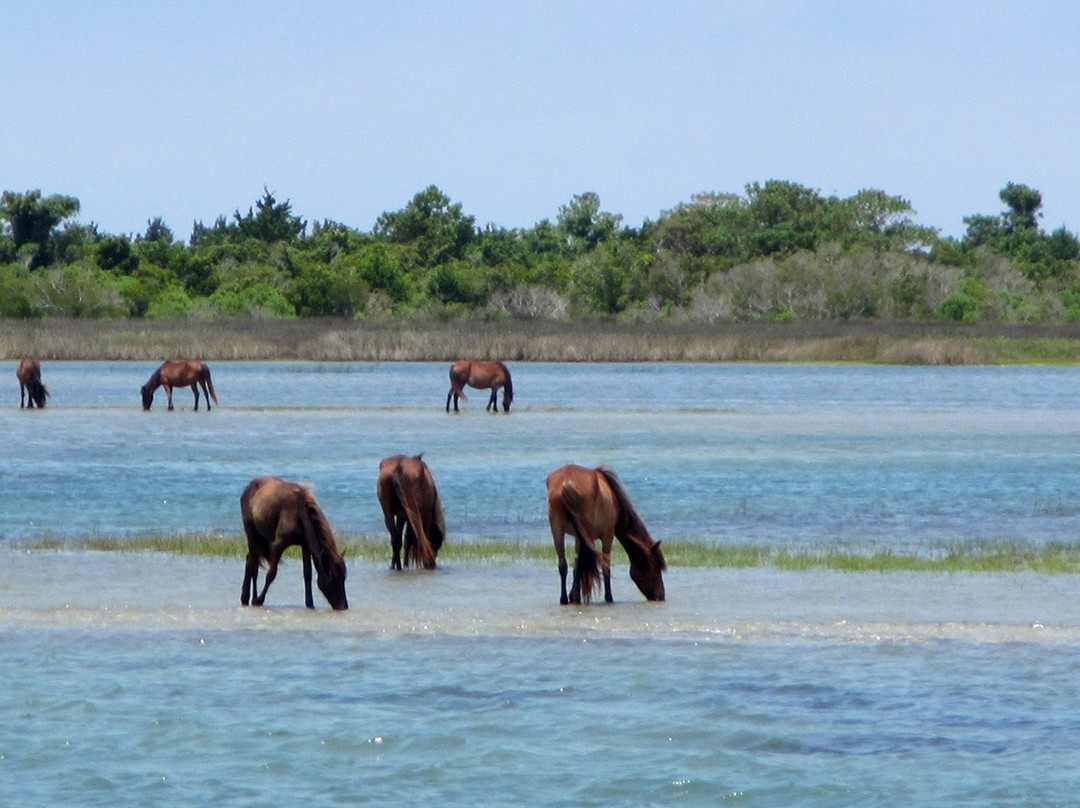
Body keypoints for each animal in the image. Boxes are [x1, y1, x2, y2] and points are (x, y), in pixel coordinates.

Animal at [241, 477, 349, 609]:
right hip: (252, 533)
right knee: (253, 565)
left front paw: (310, 604)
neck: (299, 514)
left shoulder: (305, 545)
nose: (343, 606)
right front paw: (259, 600)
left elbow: (307, 574)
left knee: (251, 560)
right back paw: (249, 598)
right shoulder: (278, 545)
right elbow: (271, 574)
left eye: (343, 578)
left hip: (262, 537)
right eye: (332, 577)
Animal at [548, 464, 665, 604]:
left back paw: (564, 599)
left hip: (557, 531)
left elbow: (576, 563)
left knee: (563, 565)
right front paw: (609, 597)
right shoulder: (608, 535)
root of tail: (566, 483)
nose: (661, 596)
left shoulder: (577, 536)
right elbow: (605, 566)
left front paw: (574, 596)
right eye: (656, 568)